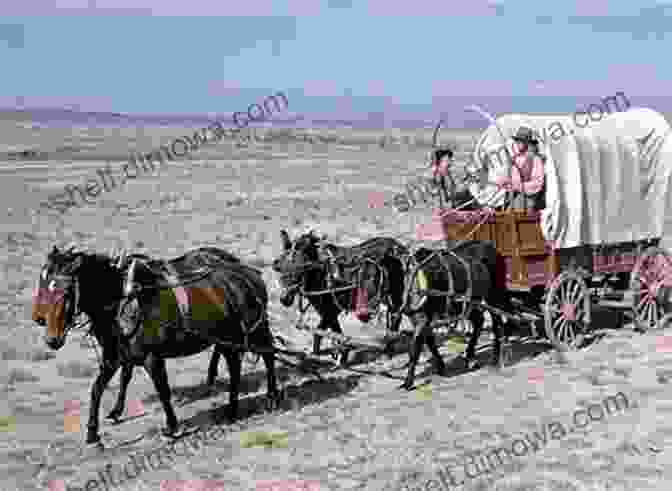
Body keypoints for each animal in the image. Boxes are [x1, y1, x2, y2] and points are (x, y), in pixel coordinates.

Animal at [29, 246, 278, 446]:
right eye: (42, 286)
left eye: (65, 292)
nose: (51, 339)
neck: (123, 301)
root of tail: (248, 272)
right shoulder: (114, 358)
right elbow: (97, 389)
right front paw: (93, 433)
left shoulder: (152, 358)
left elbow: (163, 391)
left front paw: (172, 428)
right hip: (227, 338)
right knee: (235, 366)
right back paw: (232, 409)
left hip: (255, 330)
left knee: (268, 355)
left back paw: (272, 397)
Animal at [270, 231, 406, 366]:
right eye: (281, 269)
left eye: (299, 270)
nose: (284, 299)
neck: (319, 272)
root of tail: (398, 246)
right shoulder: (326, 311)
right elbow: (323, 330)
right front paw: (319, 353)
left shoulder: (330, 311)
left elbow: (332, 331)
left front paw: (341, 355)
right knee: (393, 318)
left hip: (396, 295)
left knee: (395, 319)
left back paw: (388, 351)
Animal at [400, 240, 510, 390]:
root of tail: (489, 246)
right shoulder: (420, 319)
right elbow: (429, 341)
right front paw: (440, 366)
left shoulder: (422, 318)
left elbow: (415, 348)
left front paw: (408, 381)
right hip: (470, 301)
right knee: (479, 321)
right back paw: (471, 358)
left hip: (493, 295)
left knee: (497, 323)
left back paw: (496, 360)